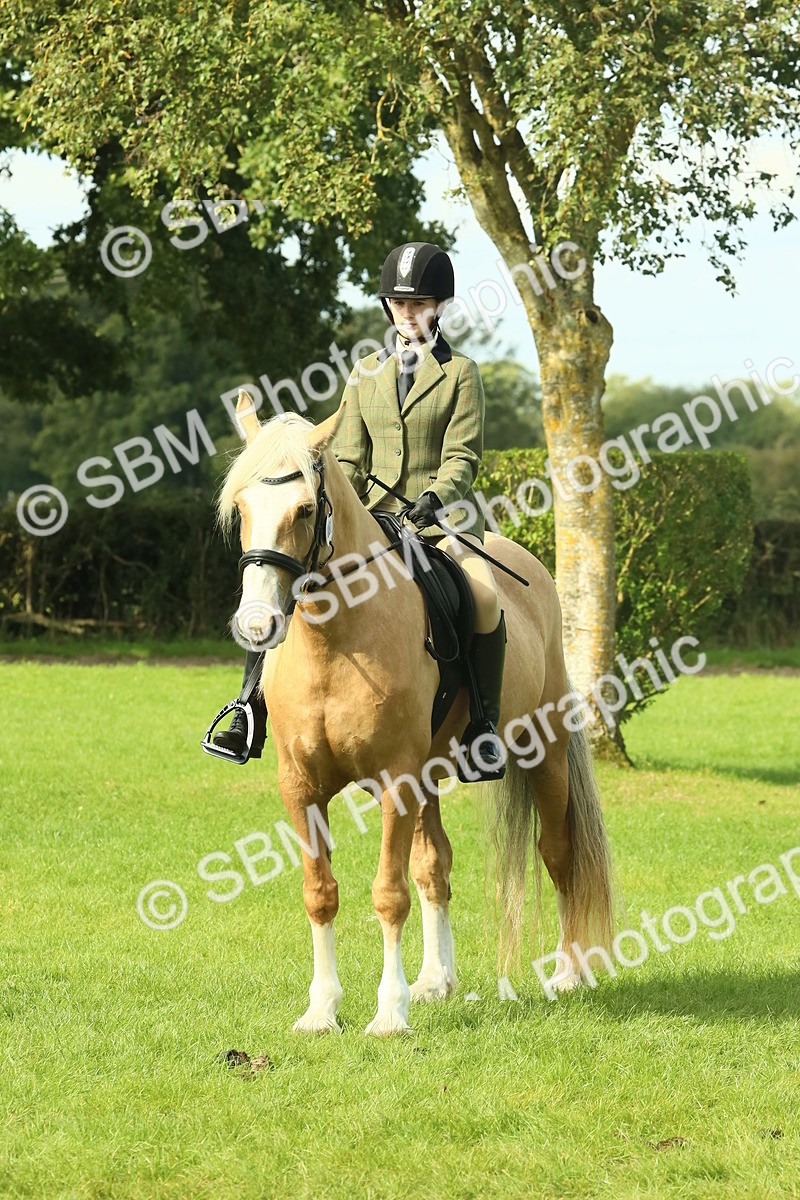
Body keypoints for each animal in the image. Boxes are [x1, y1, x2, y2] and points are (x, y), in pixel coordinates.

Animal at [216, 391, 616, 1034]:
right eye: (242, 506)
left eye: (304, 509)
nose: (257, 625)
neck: (337, 643)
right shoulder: (300, 786)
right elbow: (321, 892)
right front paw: (322, 1010)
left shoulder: (395, 781)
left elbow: (389, 893)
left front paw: (389, 1012)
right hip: (429, 773)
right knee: (435, 865)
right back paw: (436, 980)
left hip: (544, 755)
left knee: (558, 854)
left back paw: (568, 973)